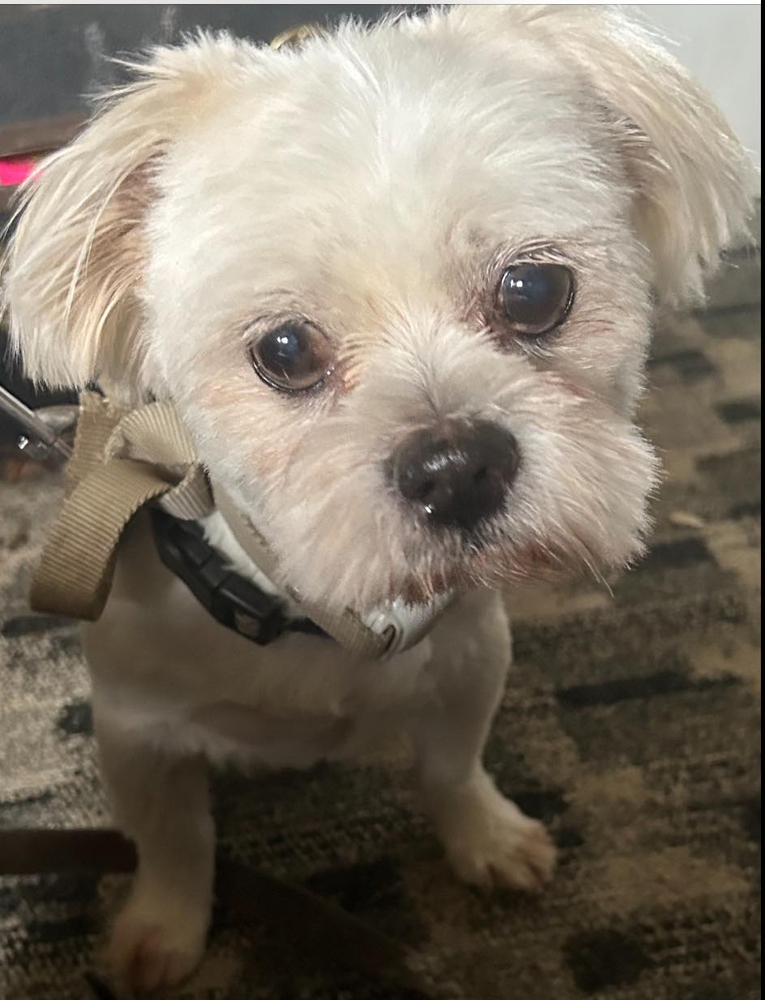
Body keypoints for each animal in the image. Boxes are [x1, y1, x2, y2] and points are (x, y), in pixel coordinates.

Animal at [0, 3, 756, 996]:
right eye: (283, 350)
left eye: (534, 290)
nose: (455, 466)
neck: (324, 610)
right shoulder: (137, 732)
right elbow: (174, 843)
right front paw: (164, 928)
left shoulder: (470, 662)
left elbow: (451, 771)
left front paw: (484, 839)